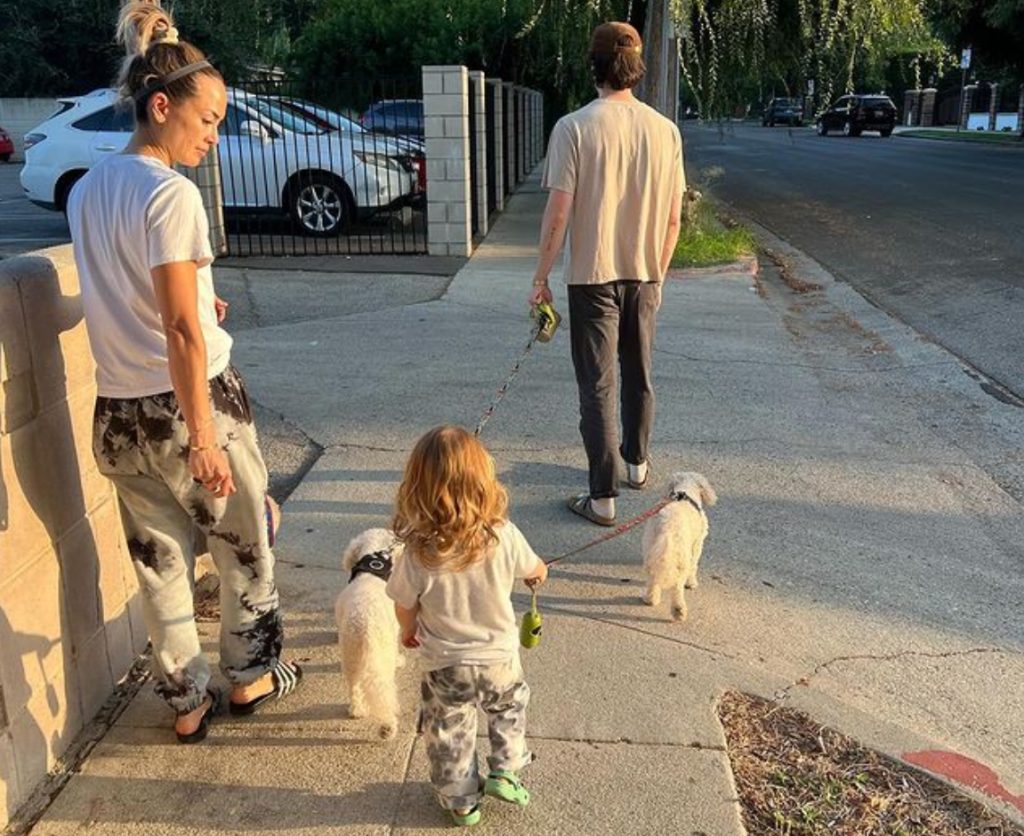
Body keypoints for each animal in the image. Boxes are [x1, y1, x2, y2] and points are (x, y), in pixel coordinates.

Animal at [333, 528, 401, 737]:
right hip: (382, 661)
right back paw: (388, 726)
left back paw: (357, 711)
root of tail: (365, 629)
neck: (372, 573)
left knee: (353, 686)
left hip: (350, 657)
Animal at [643, 471, 716, 618]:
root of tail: (667, 527)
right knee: (677, 586)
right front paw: (691, 583)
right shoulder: (697, 543)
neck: (685, 490)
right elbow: (694, 565)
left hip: (650, 547)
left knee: (652, 577)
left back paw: (651, 599)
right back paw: (679, 610)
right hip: (682, 557)